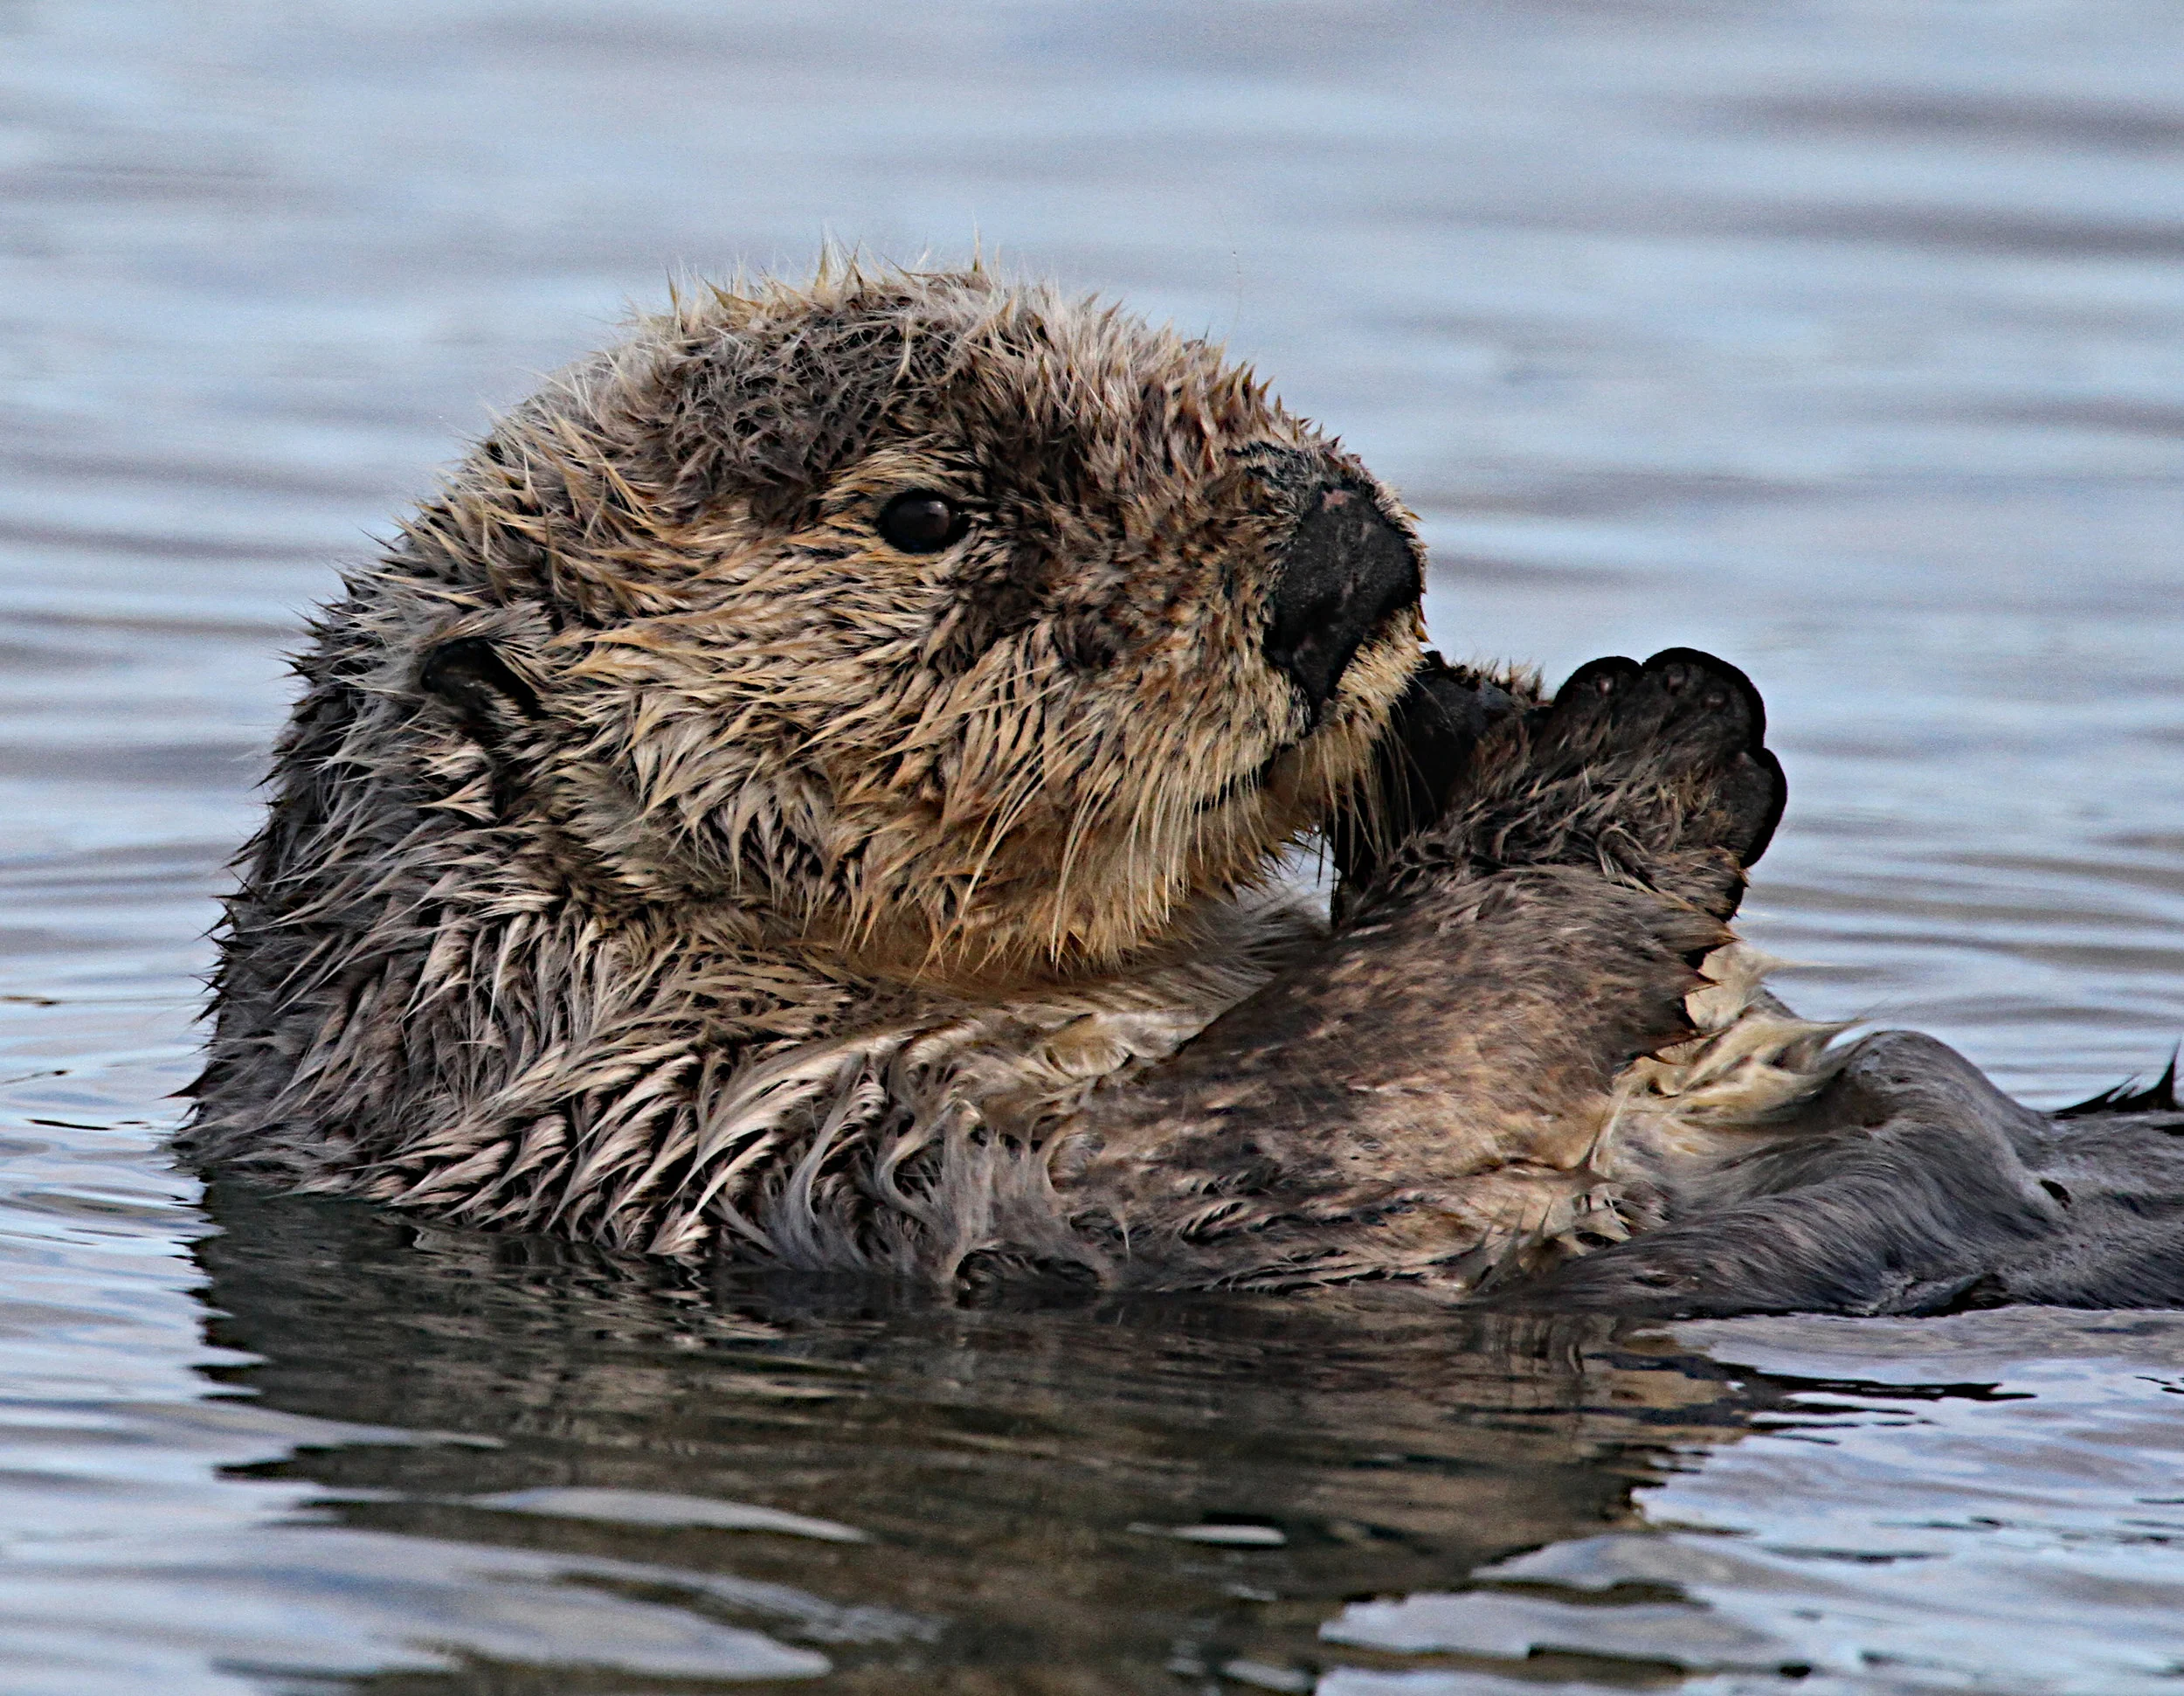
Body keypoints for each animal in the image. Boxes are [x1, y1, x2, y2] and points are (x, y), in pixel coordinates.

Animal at [182, 265, 2184, 1316]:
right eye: (927, 513)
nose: (1348, 563)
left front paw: (1469, 720)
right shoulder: (757, 1132)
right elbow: (1308, 1106)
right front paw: (1635, 744)